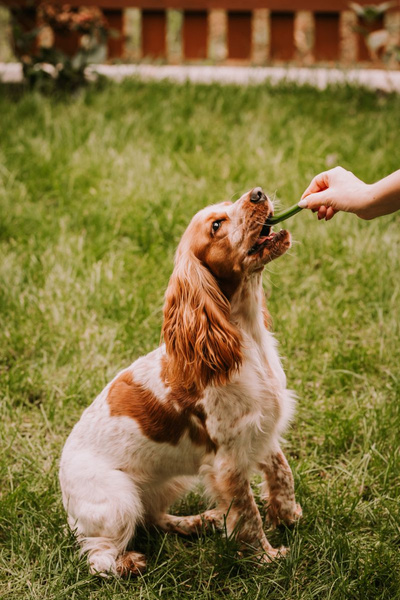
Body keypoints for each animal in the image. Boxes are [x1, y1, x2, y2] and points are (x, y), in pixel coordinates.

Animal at [60, 188, 300, 576]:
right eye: (216, 225)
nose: (258, 192)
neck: (246, 336)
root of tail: (61, 481)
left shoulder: (260, 430)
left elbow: (281, 470)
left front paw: (288, 514)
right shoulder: (228, 462)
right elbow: (248, 514)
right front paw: (267, 557)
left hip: (172, 479)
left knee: (154, 517)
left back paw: (198, 521)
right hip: (118, 501)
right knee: (99, 558)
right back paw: (130, 563)